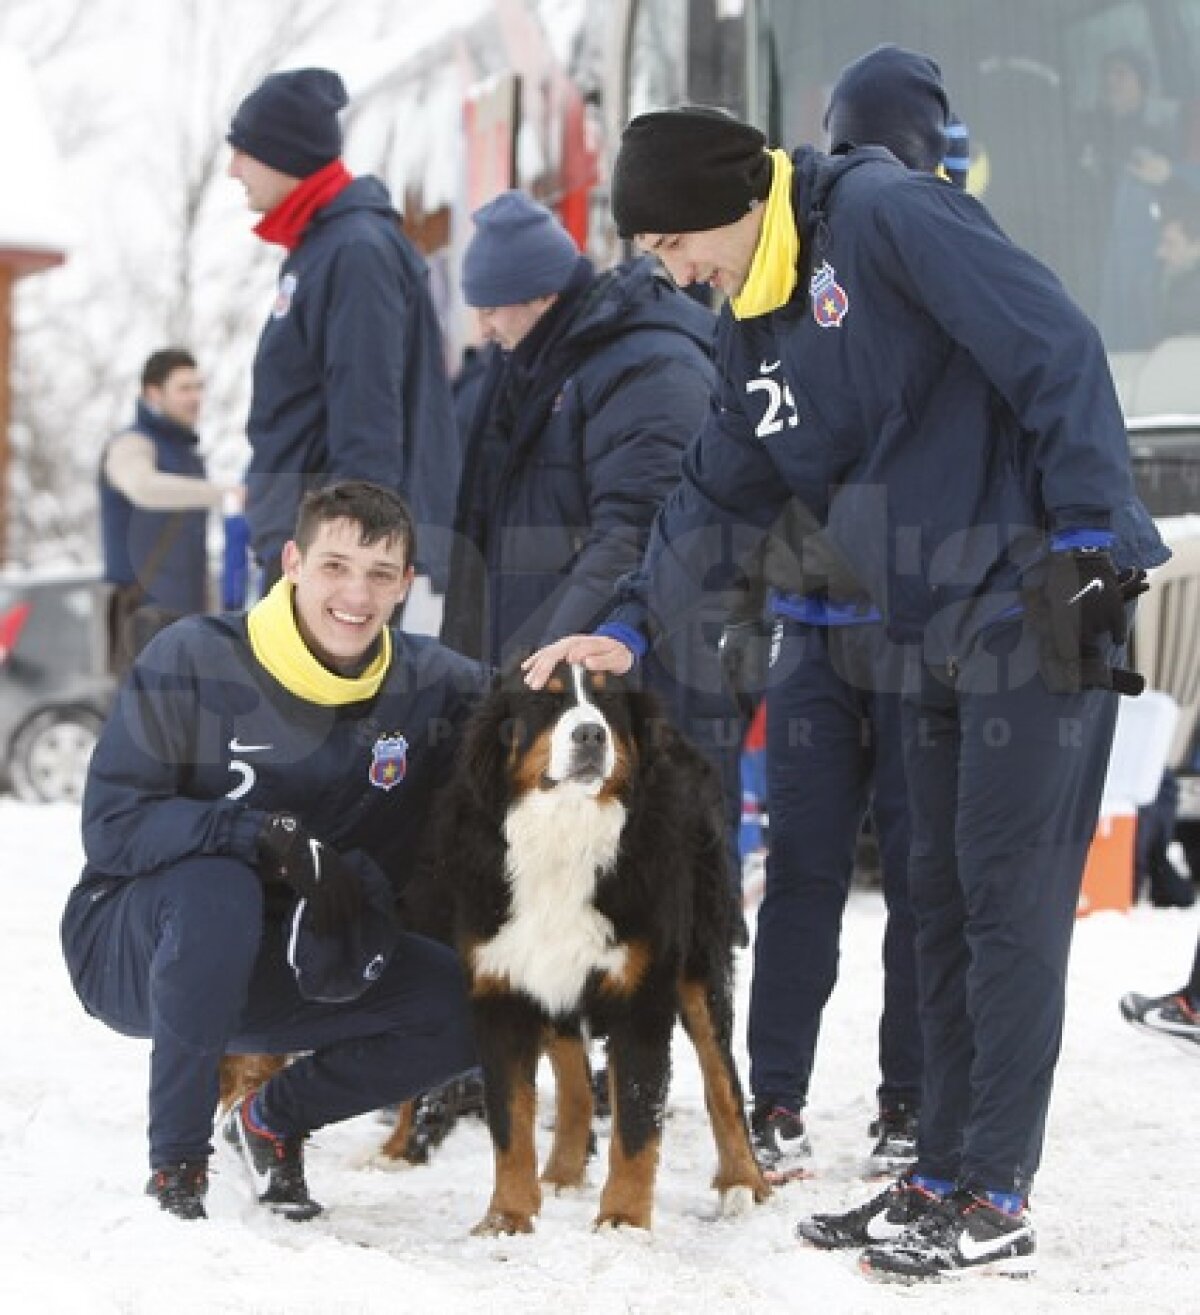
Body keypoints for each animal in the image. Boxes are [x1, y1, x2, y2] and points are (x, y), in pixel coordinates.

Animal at [436, 662, 762, 1236]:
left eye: (608, 703)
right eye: (546, 700)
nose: (590, 734)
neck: (566, 835)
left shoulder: (642, 997)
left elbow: (635, 1124)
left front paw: (624, 1221)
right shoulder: (502, 991)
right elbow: (511, 1123)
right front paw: (508, 1215)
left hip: (699, 966)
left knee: (721, 1078)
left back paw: (744, 1183)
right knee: (575, 1080)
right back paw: (563, 1171)